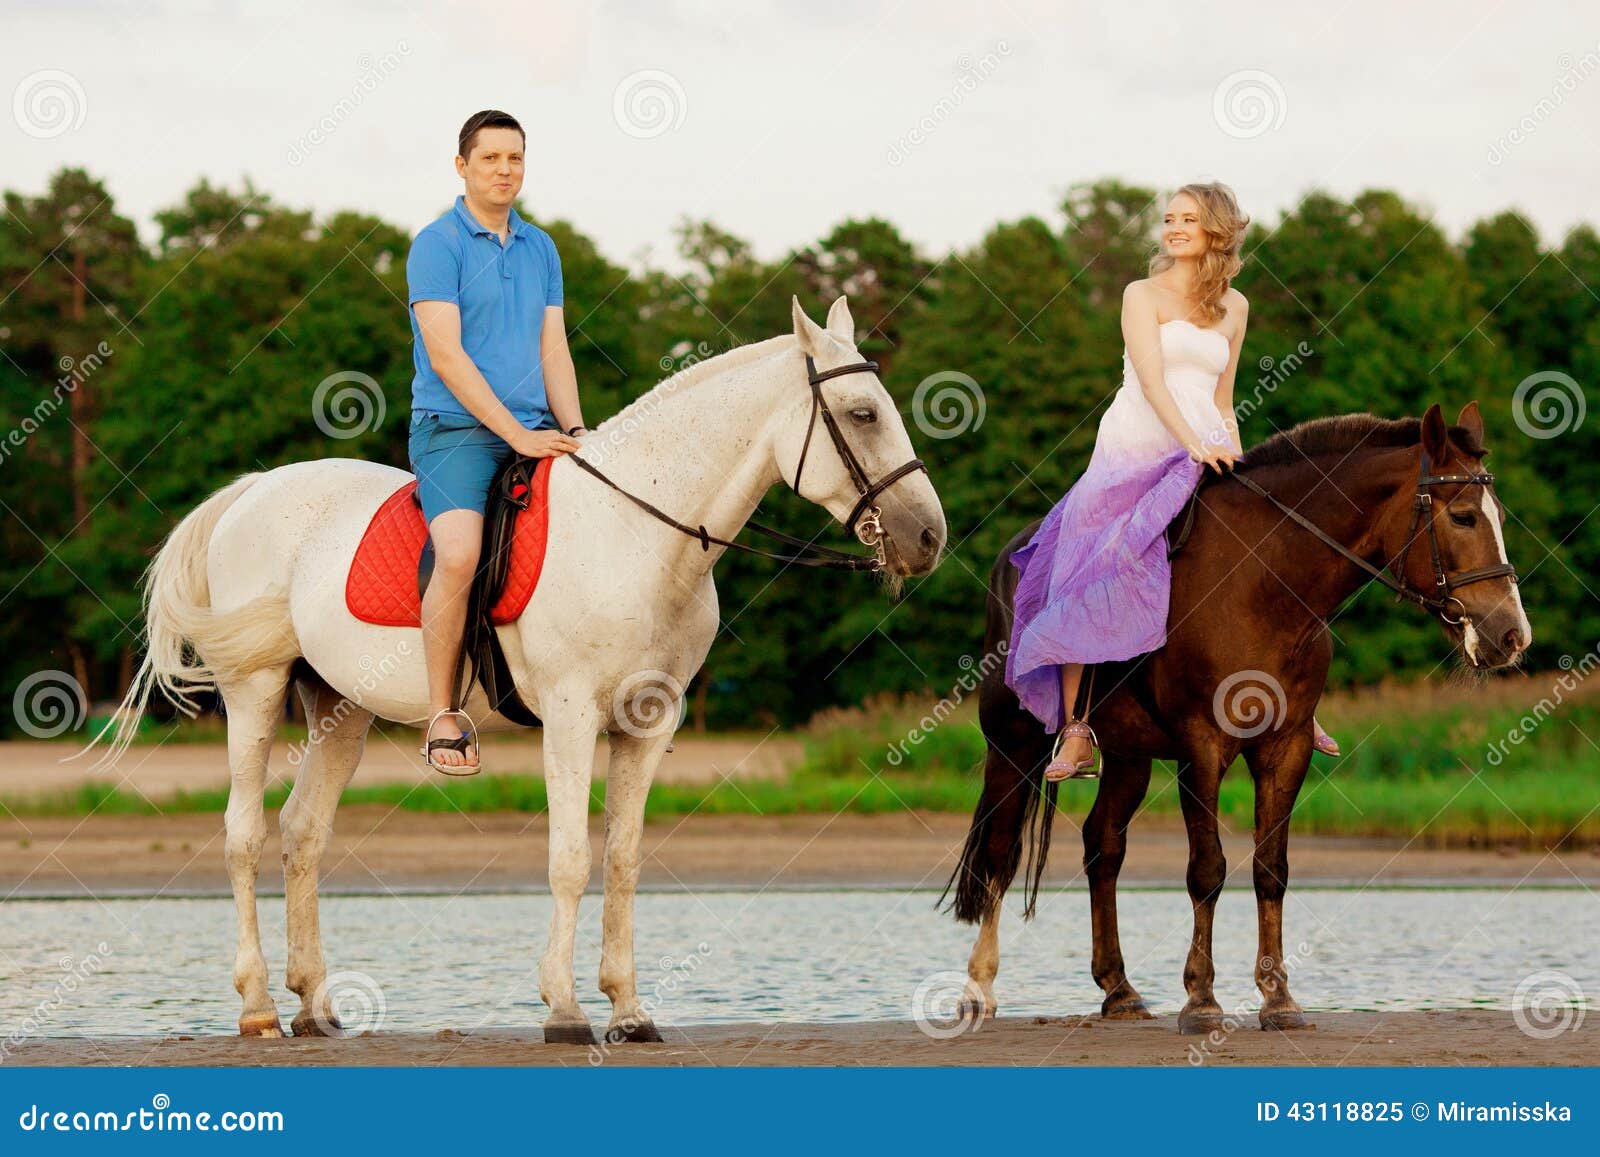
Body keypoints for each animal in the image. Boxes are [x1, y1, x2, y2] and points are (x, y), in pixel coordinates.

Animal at [93, 294, 940, 1043]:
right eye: (863, 413)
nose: (928, 536)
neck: (635, 528)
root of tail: (253, 491)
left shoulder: (648, 722)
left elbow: (623, 858)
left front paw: (628, 1009)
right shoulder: (570, 713)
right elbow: (570, 858)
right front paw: (563, 1009)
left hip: (339, 706)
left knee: (302, 831)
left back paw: (316, 1006)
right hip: (256, 691)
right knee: (243, 834)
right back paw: (259, 1006)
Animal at [940, 403, 1529, 1036]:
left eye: (1496, 516)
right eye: (1463, 516)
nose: (1511, 635)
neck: (1265, 584)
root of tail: (1011, 557)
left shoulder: (1285, 748)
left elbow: (1271, 868)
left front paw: (1279, 998)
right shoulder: (1203, 748)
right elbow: (1207, 868)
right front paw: (1201, 1000)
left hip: (1129, 757)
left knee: (1104, 846)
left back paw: (1119, 989)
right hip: (1013, 745)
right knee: (999, 851)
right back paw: (978, 989)